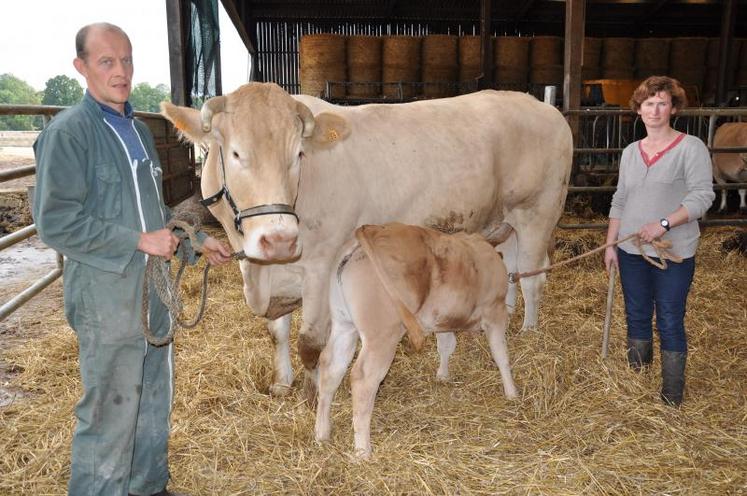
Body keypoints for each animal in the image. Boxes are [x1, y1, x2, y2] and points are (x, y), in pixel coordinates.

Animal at [162, 82, 572, 400]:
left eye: (298, 154)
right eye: (235, 153)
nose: (280, 238)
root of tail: (541, 106)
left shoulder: (322, 264)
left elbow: (310, 341)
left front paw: (314, 393)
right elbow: (276, 331)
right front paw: (282, 383)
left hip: (539, 211)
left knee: (534, 277)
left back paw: (529, 330)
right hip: (505, 224)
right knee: (513, 270)